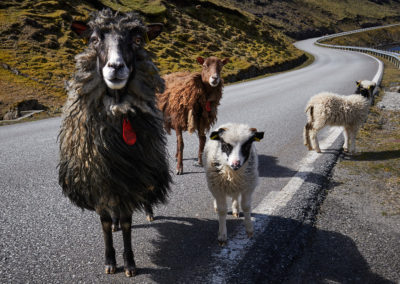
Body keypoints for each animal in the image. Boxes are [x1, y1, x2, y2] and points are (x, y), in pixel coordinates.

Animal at [58, 9, 171, 278]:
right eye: (94, 39)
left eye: (137, 40)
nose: (116, 66)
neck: (117, 107)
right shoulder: (98, 178)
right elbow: (105, 223)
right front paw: (110, 260)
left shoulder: (130, 176)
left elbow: (129, 222)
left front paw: (129, 263)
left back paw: (148, 213)